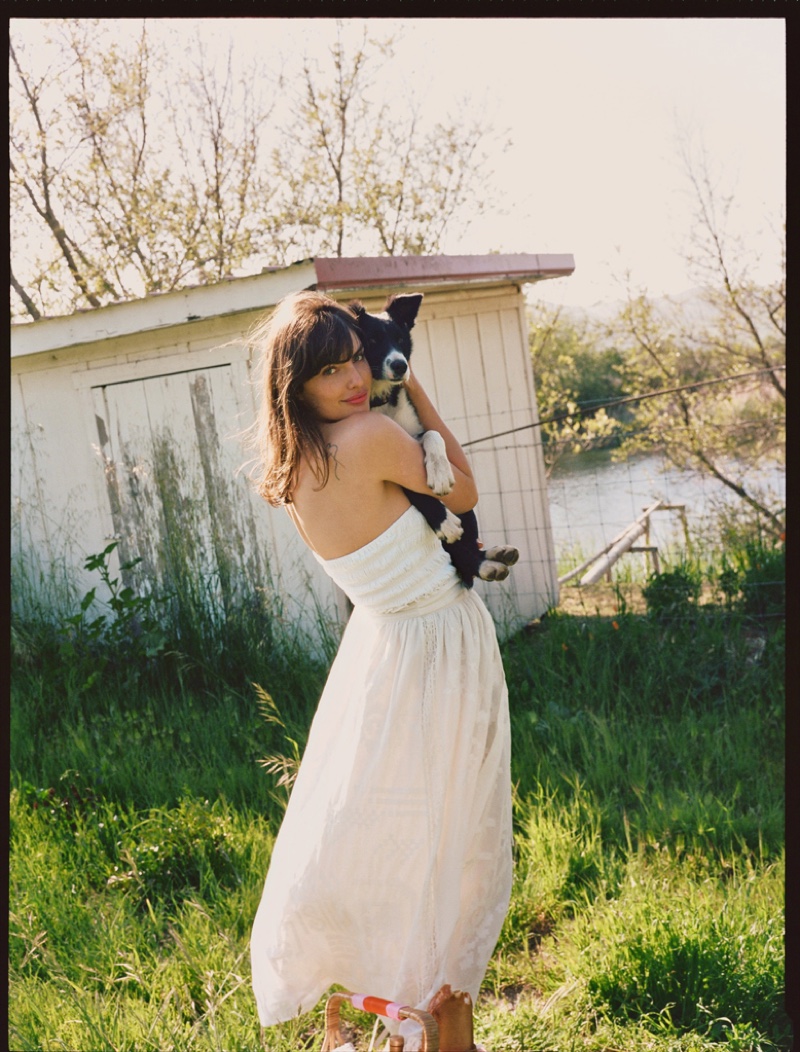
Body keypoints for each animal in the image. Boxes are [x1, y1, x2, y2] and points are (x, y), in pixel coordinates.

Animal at [351, 294, 517, 593]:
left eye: (401, 339)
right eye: (371, 340)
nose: (400, 366)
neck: (381, 400)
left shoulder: (416, 429)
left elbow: (433, 434)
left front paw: (440, 473)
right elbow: (414, 491)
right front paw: (445, 522)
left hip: (468, 509)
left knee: (468, 549)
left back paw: (492, 557)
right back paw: (487, 563)